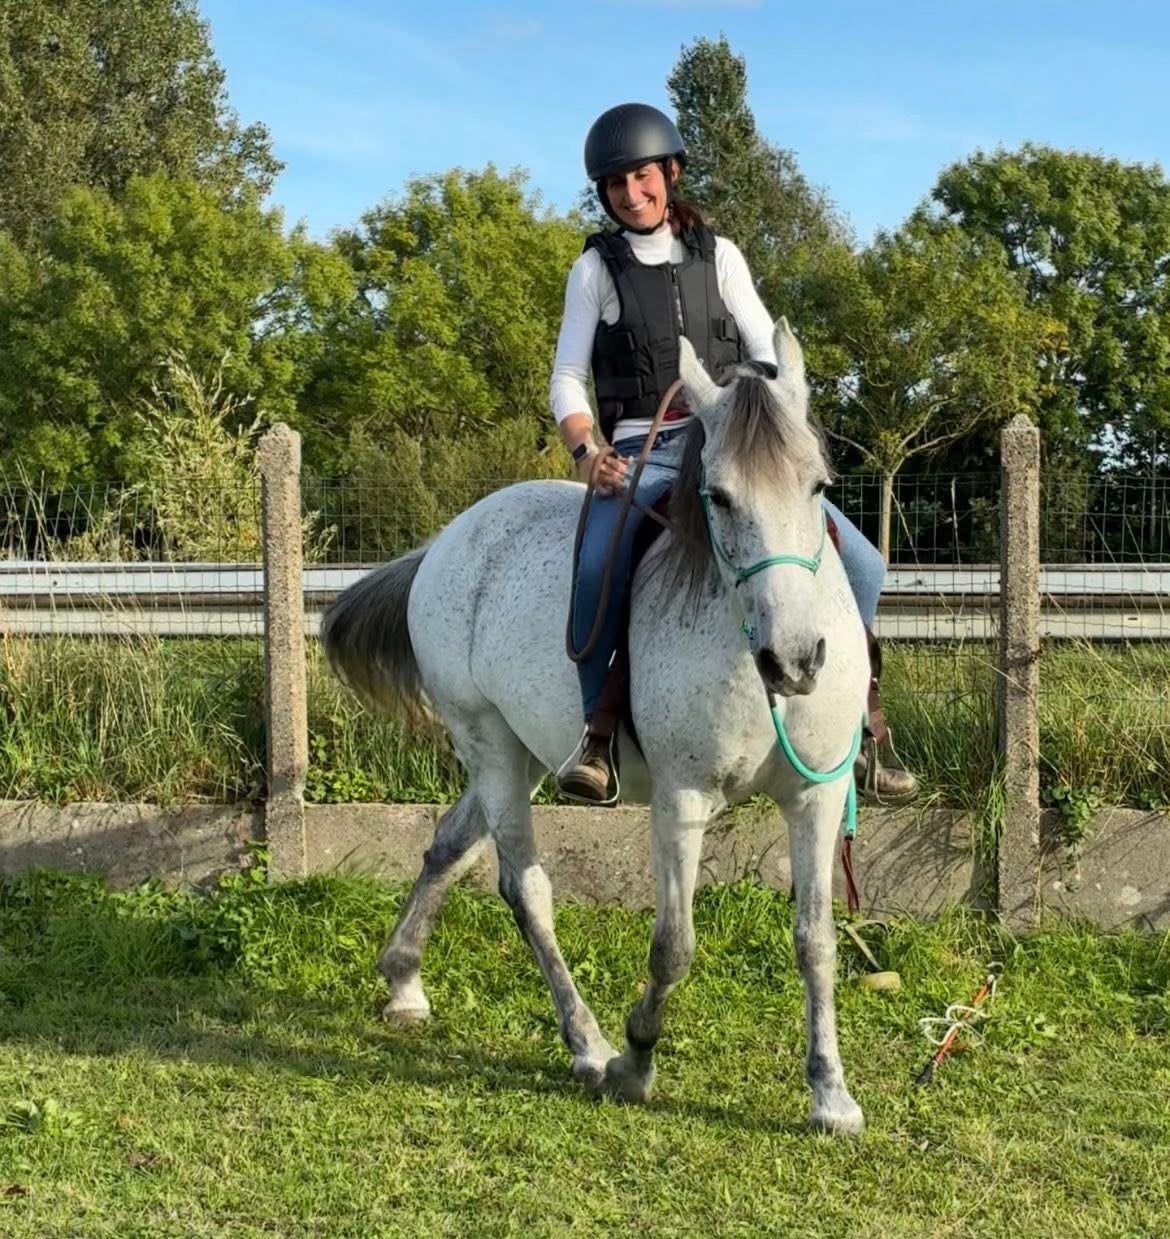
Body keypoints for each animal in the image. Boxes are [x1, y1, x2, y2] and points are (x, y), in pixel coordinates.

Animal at [321, 321, 871, 1134]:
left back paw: (404, 981)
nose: (796, 660)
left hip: (522, 754)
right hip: (488, 743)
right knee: (524, 887)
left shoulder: (816, 798)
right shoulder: (681, 801)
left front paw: (831, 1093)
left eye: (819, 486)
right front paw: (636, 1062)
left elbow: (817, 941)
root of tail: (449, 540)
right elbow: (673, 946)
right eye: (718, 495)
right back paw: (586, 1042)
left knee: (449, 845)